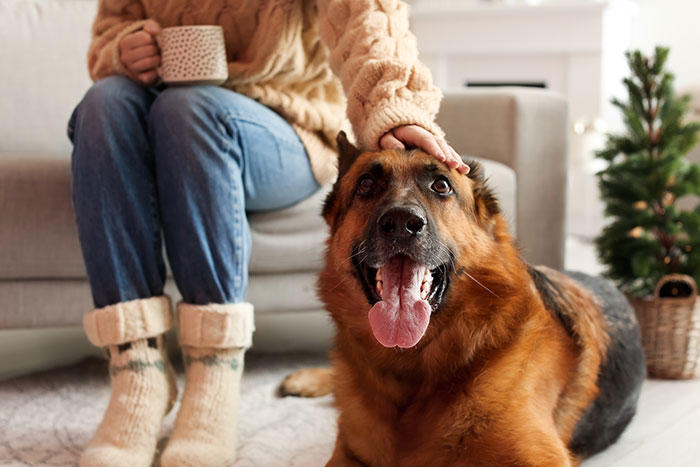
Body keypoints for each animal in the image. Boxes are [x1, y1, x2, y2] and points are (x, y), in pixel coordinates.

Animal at [280, 133, 644, 467]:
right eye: (366, 184)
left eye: (441, 186)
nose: (401, 223)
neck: (416, 374)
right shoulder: (348, 454)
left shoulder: (540, 458)